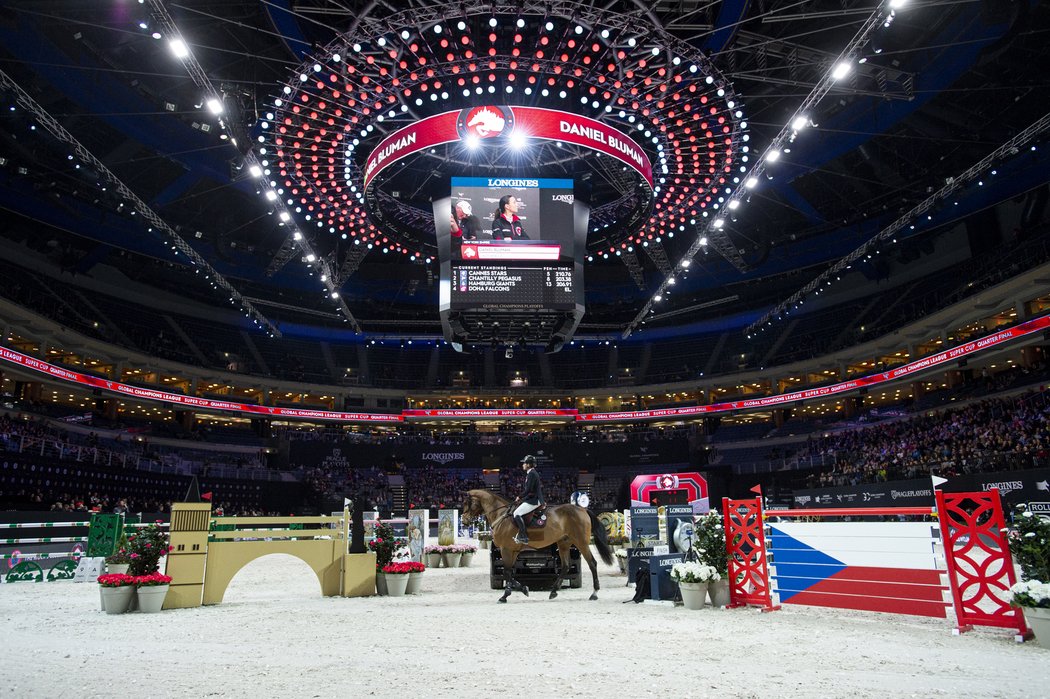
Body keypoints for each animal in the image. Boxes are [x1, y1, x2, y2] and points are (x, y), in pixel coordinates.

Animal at [459, 486, 613, 600]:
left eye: (466, 503)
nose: (464, 520)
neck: (501, 515)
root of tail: (582, 510)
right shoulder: (512, 550)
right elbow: (508, 572)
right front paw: (515, 591)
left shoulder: (505, 549)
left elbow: (507, 572)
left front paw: (510, 594)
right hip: (564, 543)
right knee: (565, 566)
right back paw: (553, 592)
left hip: (581, 543)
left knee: (592, 563)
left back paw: (594, 594)